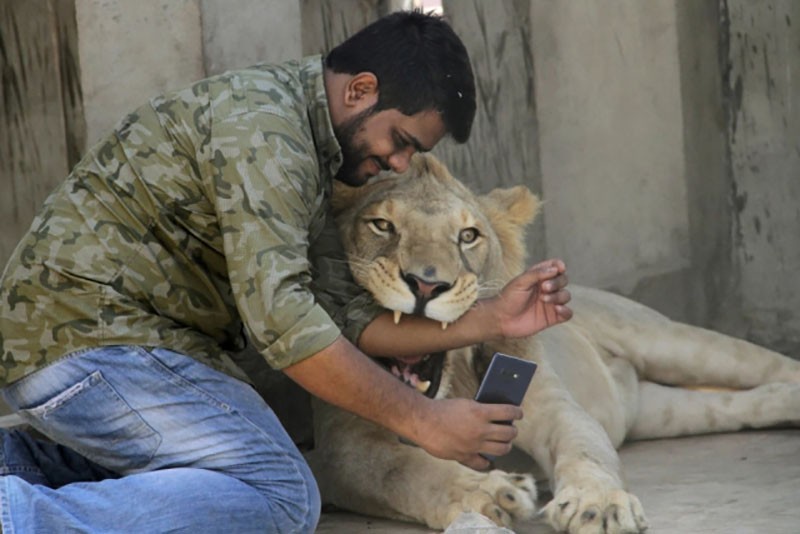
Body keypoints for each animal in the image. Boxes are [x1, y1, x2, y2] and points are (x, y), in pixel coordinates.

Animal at [306, 153, 800, 532]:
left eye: (468, 235)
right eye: (382, 225)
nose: (427, 285)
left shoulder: (549, 405)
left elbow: (585, 447)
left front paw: (599, 505)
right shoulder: (340, 448)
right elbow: (403, 471)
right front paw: (492, 494)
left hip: (675, 343)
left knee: (770, 366)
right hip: (664, 412)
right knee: (747, 403)